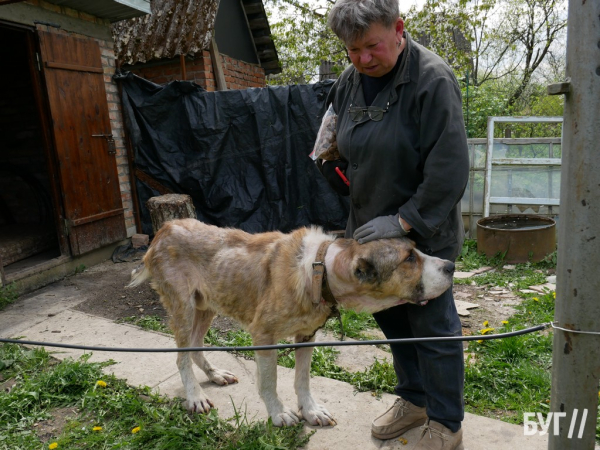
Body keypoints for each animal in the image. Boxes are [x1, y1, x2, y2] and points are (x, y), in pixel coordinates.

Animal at [127, 220, 454, 428]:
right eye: (409, 258)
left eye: (416, 248)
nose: (451, 266)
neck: (320, 269)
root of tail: (165, 229)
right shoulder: (263, 335)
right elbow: (269, 381)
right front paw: (279, 414)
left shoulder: (307, 335)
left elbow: (303, 378)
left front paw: (310, 411)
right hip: (182, 308)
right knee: (181, 356)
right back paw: (195, 396)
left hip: (206, 305)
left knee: (195, 347)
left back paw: (215, 374)